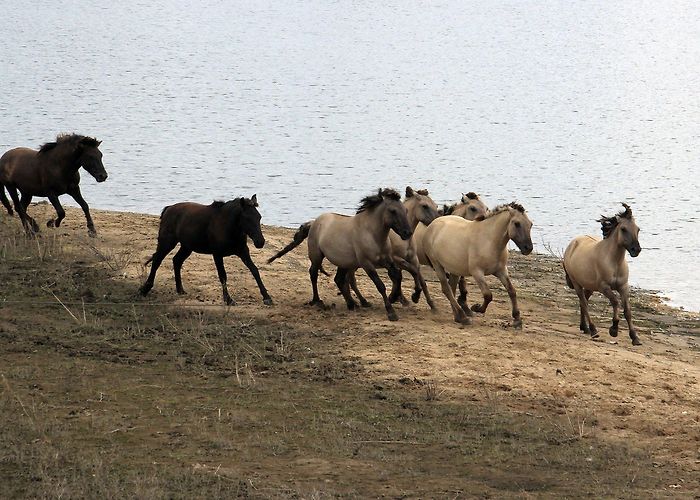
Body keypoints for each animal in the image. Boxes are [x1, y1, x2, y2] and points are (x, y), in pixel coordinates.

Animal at [139, 196, 274, 306]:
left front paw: (267, 298)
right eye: (247, 218)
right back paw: (145, 289)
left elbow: (255, 270)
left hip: (187, 246)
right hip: (167, 242)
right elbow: (223, 276)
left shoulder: (243, 252)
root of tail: (168, 209)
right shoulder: (217, 254)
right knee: (157, 260)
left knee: (176, 260)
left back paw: (180, 290)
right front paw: (228, 300)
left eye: (259, 217)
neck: (228, 226)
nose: (260, 242)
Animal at [266, 188, 410, 320]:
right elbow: (380, 285)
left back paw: (352, 304)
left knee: (339, 280)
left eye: (405, 210)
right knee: (313, 274)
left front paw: (395, 298)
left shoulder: (387, 260)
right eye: (393, 211)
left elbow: (397, 276)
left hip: (343, 262)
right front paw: (391, 312)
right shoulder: (367, 263)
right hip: (317, 256)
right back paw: (318, 301)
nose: (407, 233)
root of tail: (314, 223)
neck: (372, 234)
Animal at [564, 201, 640, 346]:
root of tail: (571, 245)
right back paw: (593, 330)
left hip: (589, 286)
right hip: (577, 284)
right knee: (584, 303)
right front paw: (614, 329)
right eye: (623, 229)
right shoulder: (604, 287)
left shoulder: (623, 287)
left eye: (638, 229)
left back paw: (584, 327)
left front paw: (635, 337)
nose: (636, 250)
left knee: (583, 302)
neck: (614, 262)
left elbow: (627, 310)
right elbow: (615, 302)